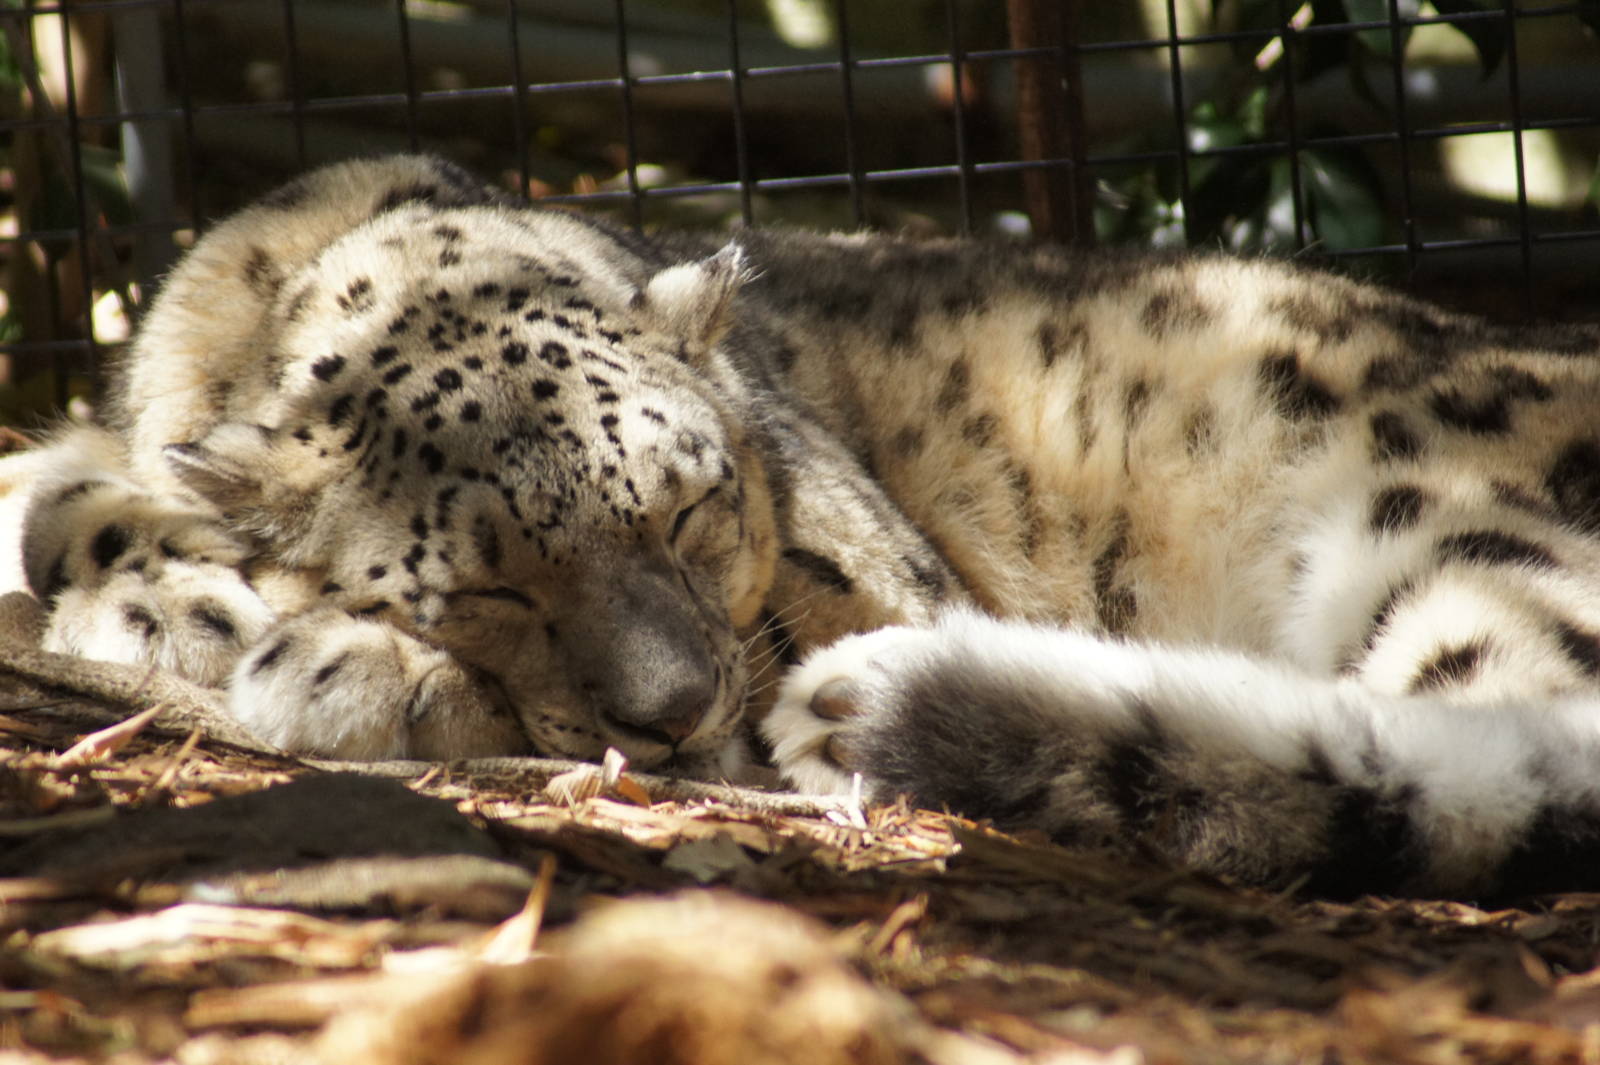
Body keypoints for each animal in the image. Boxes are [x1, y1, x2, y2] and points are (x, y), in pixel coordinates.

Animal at [12, 153, 1600, 899]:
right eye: (489, 588)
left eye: (694, 504)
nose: (669, 712)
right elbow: (58, 487)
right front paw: (169, 592)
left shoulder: (848, 578)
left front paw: (341, 664)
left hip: (1450, 514)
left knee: (1510, 743)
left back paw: (894, 707)